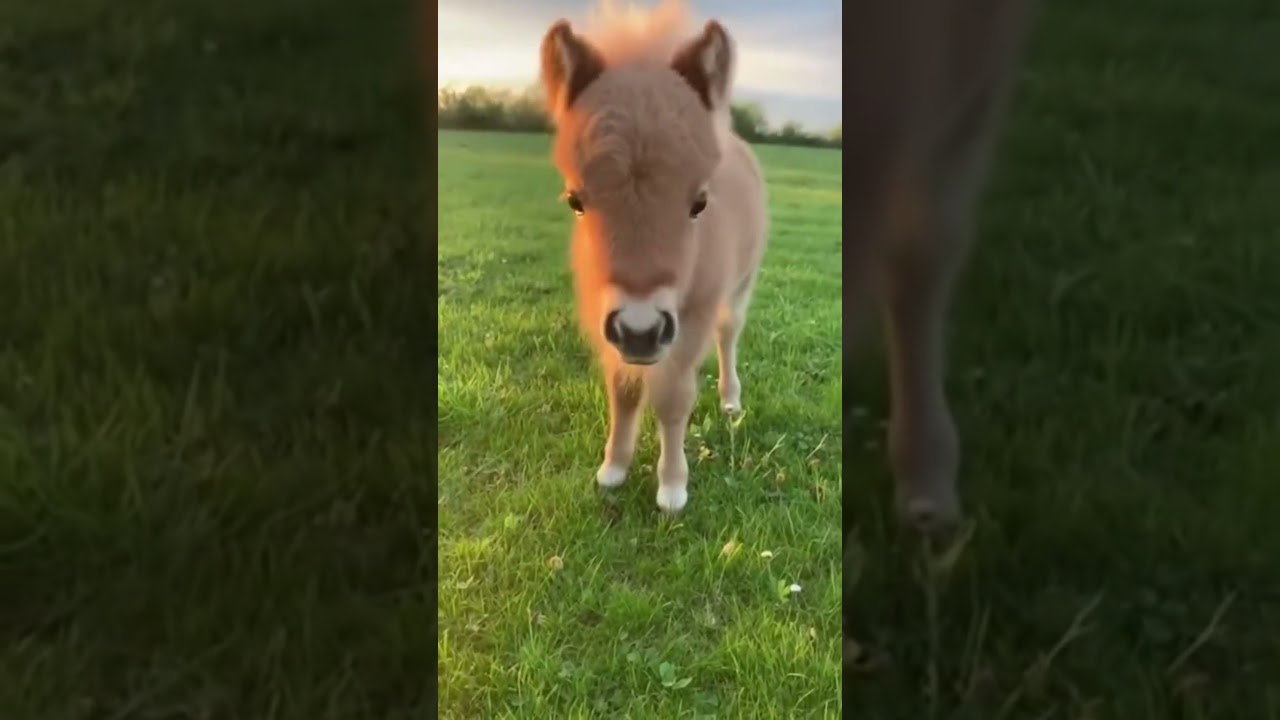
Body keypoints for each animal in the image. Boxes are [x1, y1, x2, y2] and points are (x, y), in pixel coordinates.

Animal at [537, 0, 767, 513]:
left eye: (699, 202)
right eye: (575, 200)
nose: (640, 329)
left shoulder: (693, 314)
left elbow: (672, 397)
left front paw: (673, 486)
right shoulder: (605, 312)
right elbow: (622, 390)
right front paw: (613, 468)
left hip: (741, 286)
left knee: (729, 334)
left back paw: (730, 400)